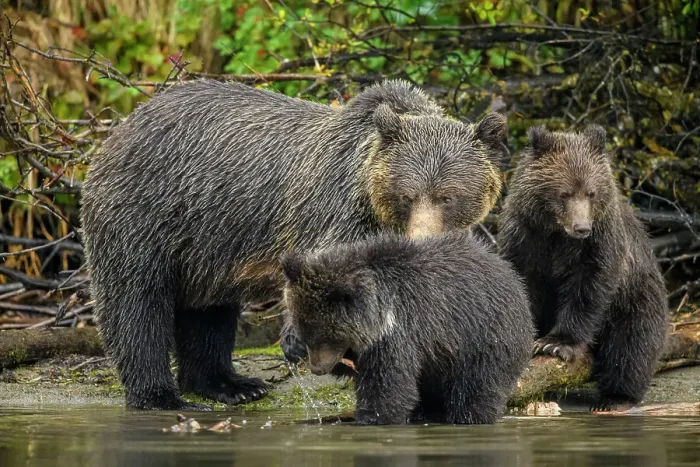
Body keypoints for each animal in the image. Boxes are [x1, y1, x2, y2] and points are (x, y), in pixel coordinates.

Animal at [80, 79, 508, 410]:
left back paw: (231, 385)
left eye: (447, 196)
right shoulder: (335, 211)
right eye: (407, 195)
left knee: (208, 313)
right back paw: (160, 395)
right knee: (137, 303)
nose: (423, 238)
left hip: (207, 246)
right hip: (146, 213)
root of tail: (118, 131)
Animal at [280, 231, 534, 425]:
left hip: (485, 337)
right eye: (308, 334)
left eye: (327, 337)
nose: (317, 369)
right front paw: (292, 345)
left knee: (476, 387)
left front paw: (372, 418)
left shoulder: (400, 332)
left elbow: (387, 384)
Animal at [497, 124, 668, 410]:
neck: (556, 234)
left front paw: (557, 344)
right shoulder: (525, 237)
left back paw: (616, 398)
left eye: (591, 192)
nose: (581, 227)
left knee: (631, 346)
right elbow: (523, 282)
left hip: (637, 297)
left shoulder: (600, 243)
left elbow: (589, 286)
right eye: (564, 193)